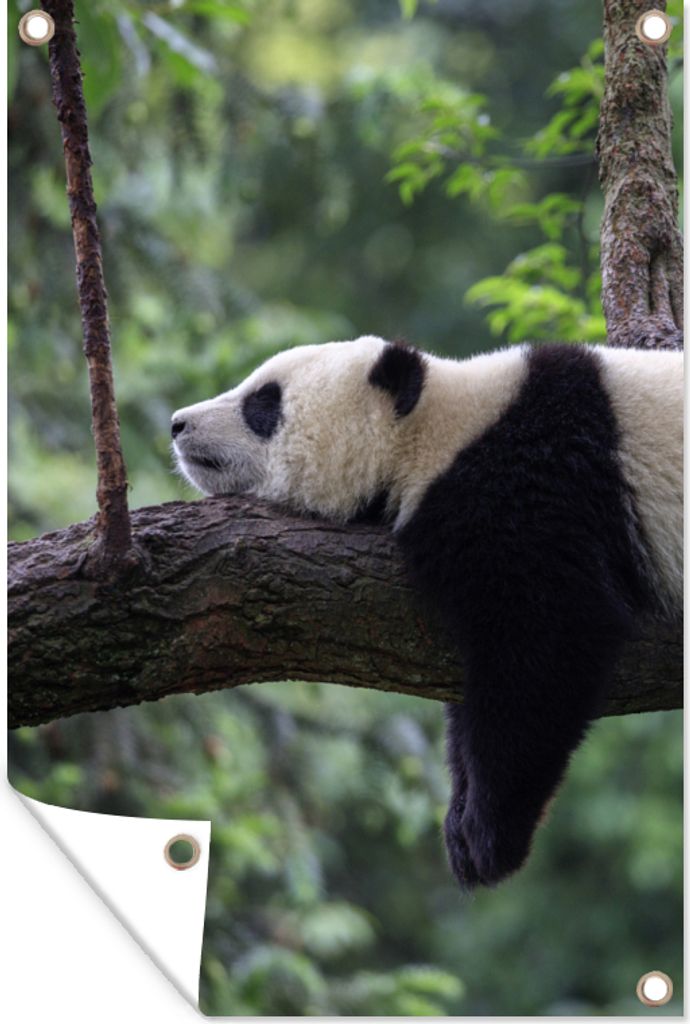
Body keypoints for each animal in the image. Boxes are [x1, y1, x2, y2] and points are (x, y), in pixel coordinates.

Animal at [171, 336, 683, 889]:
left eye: (264, 403)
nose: (178, 423)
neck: (436, 428)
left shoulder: (534, 485)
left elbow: (553, 635)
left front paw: (490, 834)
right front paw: (460, 822)